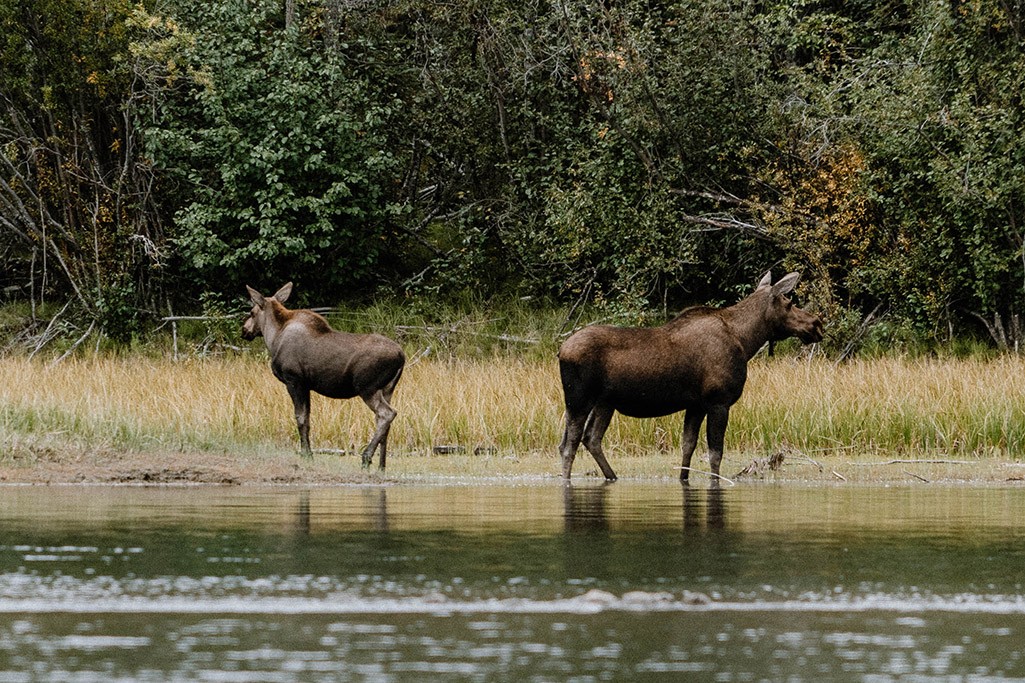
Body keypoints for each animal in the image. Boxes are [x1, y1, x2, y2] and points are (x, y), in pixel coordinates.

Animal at [240, 280, 403, 467]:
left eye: (251, 312)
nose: (244, 330)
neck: (273, 337)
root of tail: (402, 356)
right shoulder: (306, 385)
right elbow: (308, 419)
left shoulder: (294, 380)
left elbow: (300, 417)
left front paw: (306, 454)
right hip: (388, 389)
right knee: (384, 420)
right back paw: (381, 465)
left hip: (367, 388)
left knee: (387, 414)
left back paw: (366, 458)